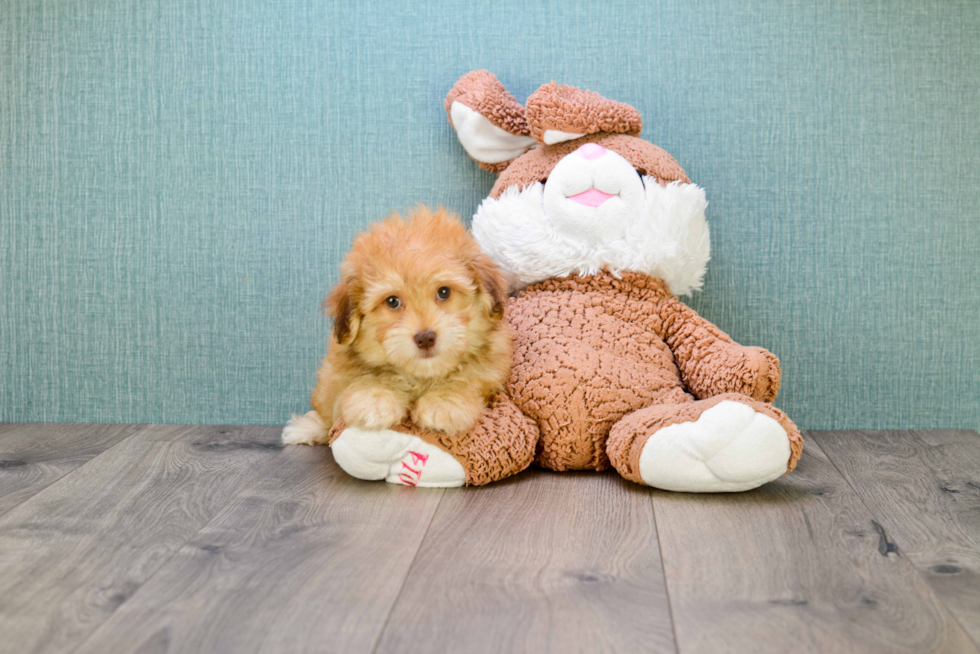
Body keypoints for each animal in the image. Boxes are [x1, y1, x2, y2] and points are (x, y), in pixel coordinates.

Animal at [288, 205, 510, 446]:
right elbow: (364, 380)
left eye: (444, 292)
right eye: (392, 301)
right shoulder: (340, 374)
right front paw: (374, 398)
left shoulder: (489, 374)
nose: (425, 338)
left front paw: (444, 402)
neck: (420, 376)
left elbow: (467, 379)